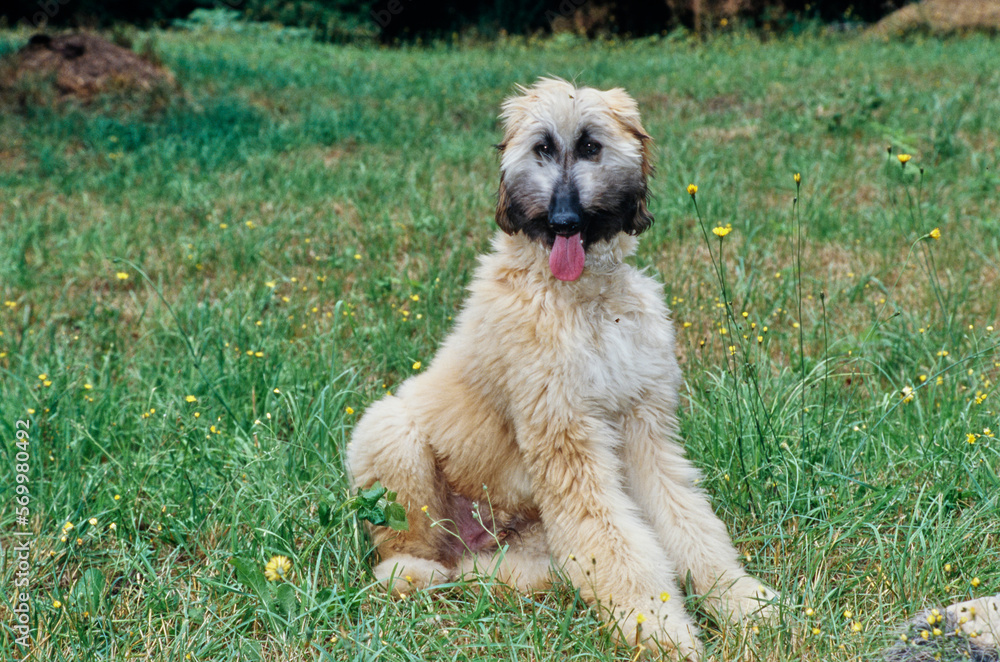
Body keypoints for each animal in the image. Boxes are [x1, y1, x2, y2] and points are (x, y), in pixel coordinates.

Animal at [348, 76, 776, 660]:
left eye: (592, 146)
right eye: (542, 148)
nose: (563, 221)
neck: (585, 300)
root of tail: (472, 541)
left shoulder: (643, 427)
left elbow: (685, 519)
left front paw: (738, 600)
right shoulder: (568, 437)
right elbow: (616, 542)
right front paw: (661, 630)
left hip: (533, 550)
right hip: (390, 435)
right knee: (400, 549)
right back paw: (413, 573)